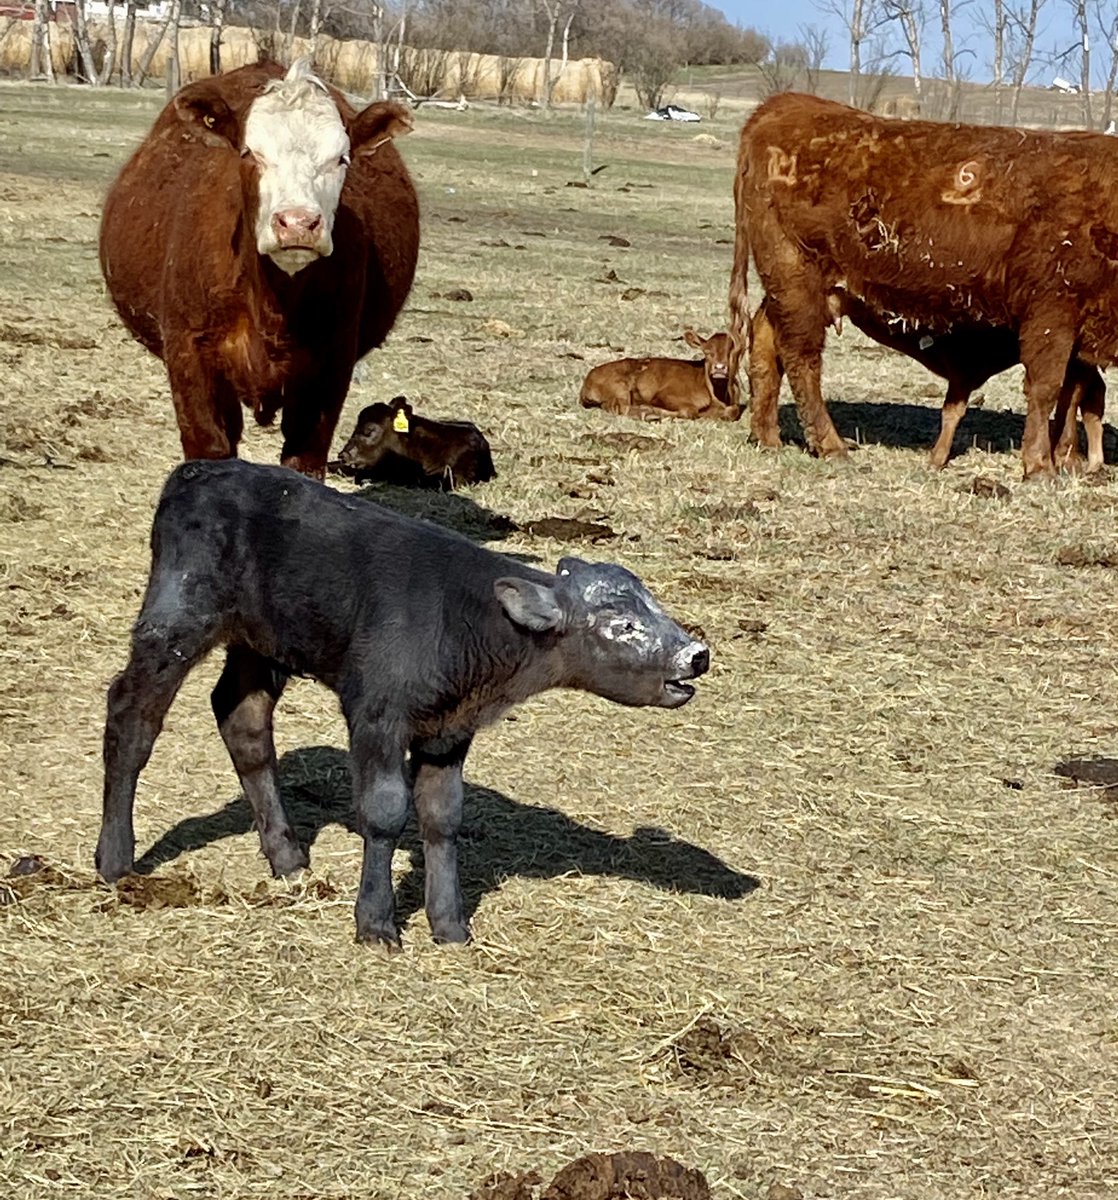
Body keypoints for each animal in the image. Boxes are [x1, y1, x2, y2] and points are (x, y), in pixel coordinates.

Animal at [97, 459, 710, 948]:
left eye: (655, 607)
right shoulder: (377, 717)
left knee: (241, 717)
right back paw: (115, 859)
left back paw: (288, 858)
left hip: (259, 642)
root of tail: (198, 471)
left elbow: (441, 816)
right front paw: (376, 923)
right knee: (132, 715)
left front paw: (450, 925)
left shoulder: (449, 733)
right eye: (621, 624)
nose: (696, 654)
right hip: (176, 620)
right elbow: (386, 811)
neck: (465, 621)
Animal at [99, 59, 419, 479]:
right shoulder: (189, 352)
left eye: (341, 158)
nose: (297, 222)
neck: (272, 301)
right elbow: (210, 448)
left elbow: (302, 460)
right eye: (250, 153)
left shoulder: (331, 364)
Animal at [579, 329, 743, 421]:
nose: (720, 368)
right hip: (619, 388)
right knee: (619, 407)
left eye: (734, 353)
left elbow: (734, 411)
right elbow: (690, 410)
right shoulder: (664, 395)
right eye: (707, 352)